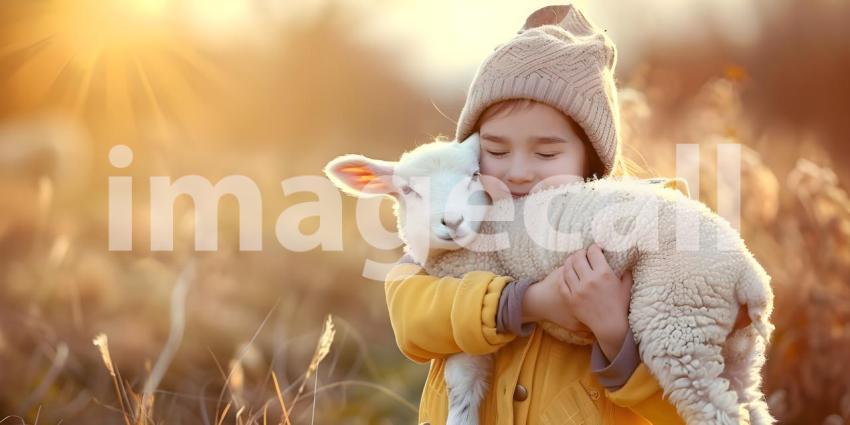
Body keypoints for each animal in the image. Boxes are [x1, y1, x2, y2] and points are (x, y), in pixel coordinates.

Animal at [324, 133, 776, 425]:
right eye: (407, 190)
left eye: (473, 176)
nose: (450, 222)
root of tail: (749, 275)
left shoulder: (470, 292)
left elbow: (462, 387)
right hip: (732, 343)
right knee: (751, 404)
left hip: (678, 314)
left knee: (718, 411)